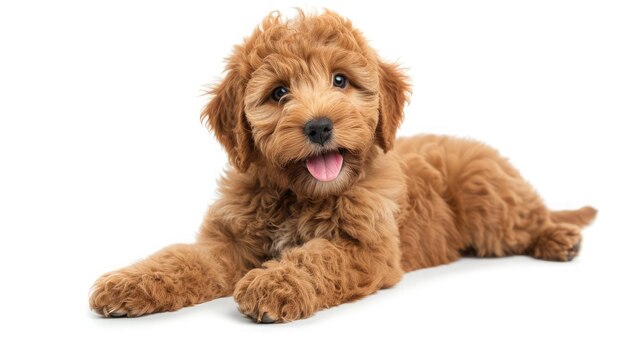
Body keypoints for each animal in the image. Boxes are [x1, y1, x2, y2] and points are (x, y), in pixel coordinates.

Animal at [88, 11, 596, 324]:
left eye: (340, 80)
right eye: (278, 92)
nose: (318, 126)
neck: (294, 194)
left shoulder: (366, 247)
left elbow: (318, 257)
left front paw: (274, 283)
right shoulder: (227, 242)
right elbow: (180, 257)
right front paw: (127, 283)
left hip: (489, 203)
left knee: (527, 220)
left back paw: (559, 237)